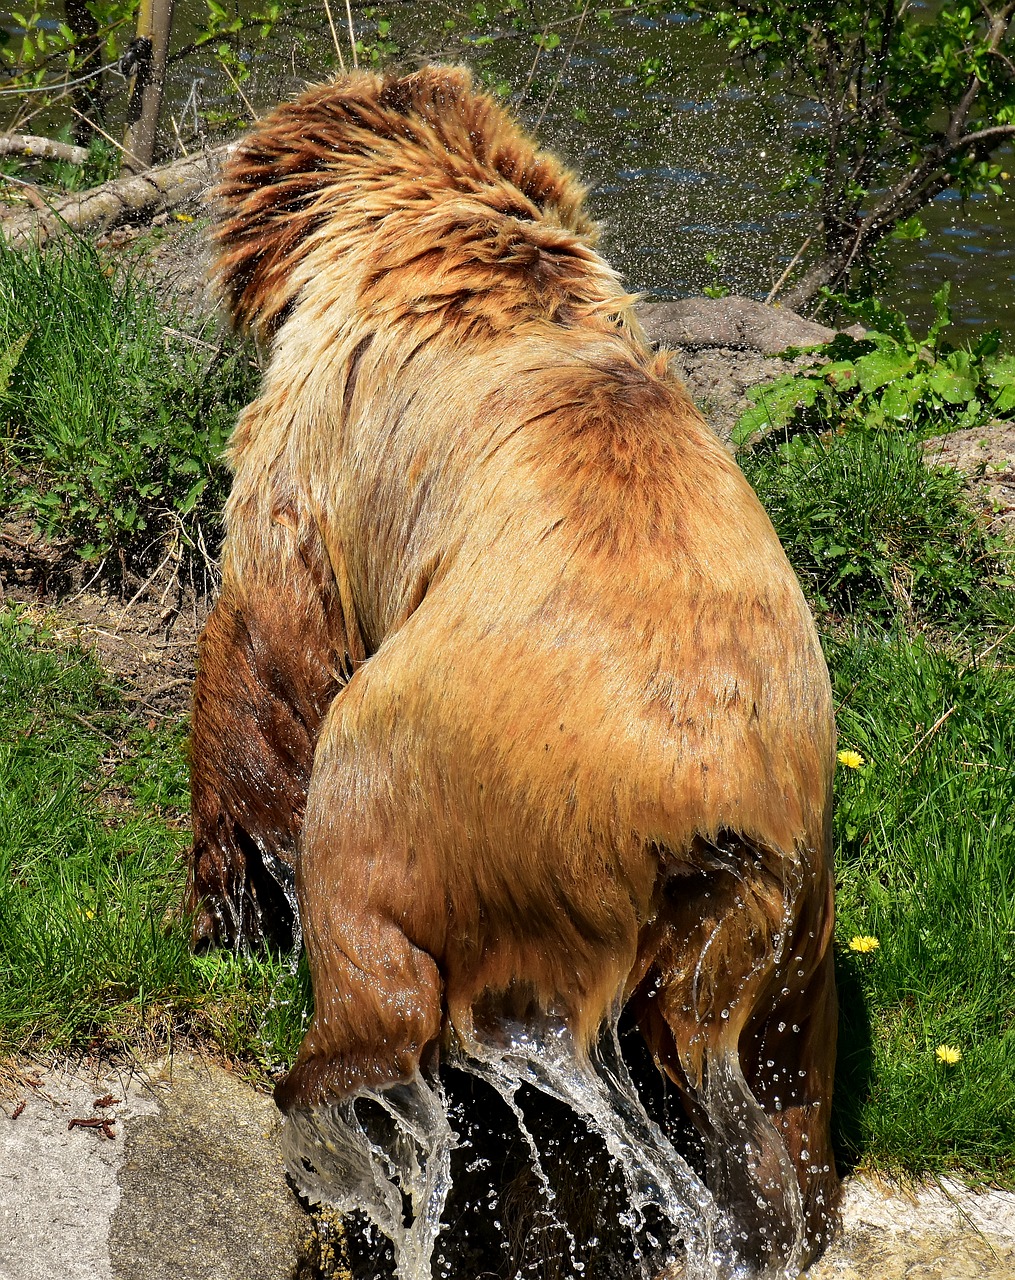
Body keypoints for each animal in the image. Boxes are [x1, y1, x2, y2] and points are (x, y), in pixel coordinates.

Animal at [189, 62, 839, 1280]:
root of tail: (697, 811)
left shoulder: (318, 438)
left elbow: (265, 636)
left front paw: (222, 896)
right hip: (793, 913)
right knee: (778, 1096)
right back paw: (759, 1215)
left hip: (451, 777)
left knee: (366, 884)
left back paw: (336, 1093)